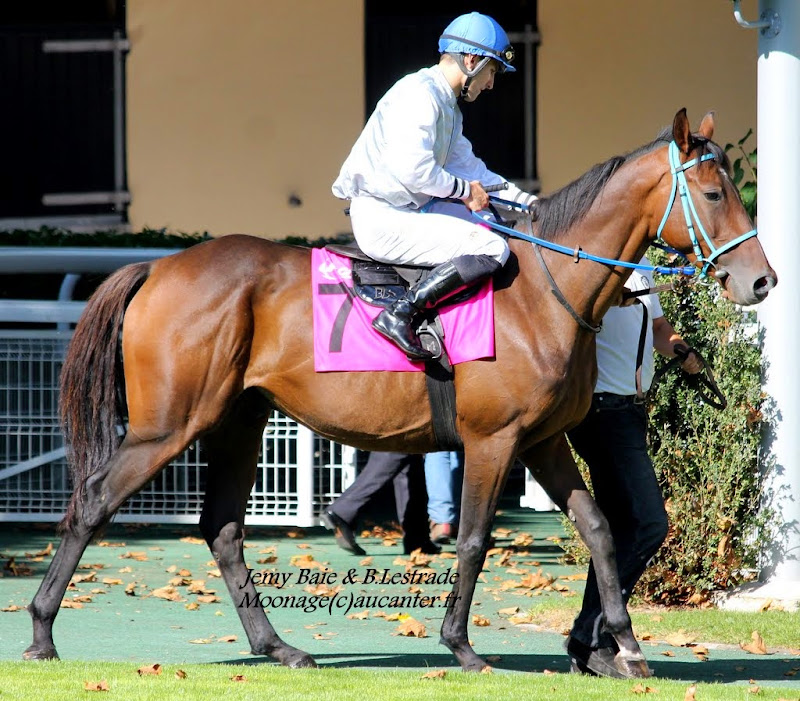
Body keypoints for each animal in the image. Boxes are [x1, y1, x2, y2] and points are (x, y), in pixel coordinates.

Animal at [23, 108, 776, 672]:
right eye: (714, 194)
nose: (762, 281)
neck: (544, 289)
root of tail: (158, 265)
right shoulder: (492, 439)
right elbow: (472, 538)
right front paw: (462, 646)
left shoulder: (542, 440)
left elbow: (597, 527)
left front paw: (623, 642)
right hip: (168, 425)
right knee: (92, 502)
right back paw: (40, 632)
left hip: (239, 419)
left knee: (224, 527)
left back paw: (279, 647)